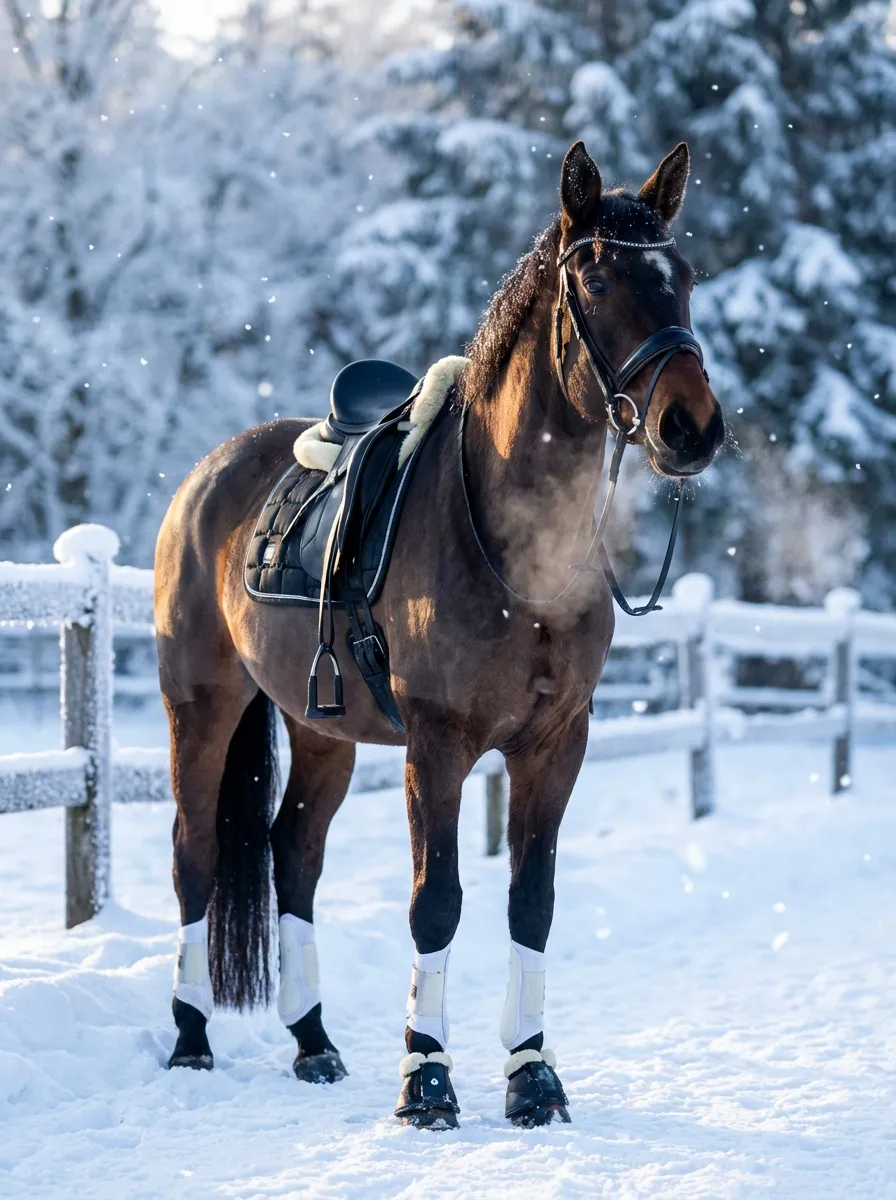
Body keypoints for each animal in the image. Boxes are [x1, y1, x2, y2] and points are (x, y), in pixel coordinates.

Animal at [154, 139, 725, 1129]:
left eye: (683, 277)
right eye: (600, 279)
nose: (691, 426)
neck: (513, 543)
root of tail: (204, 477)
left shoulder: (555, 743)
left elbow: (531, 902)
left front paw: (532, 1074)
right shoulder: (439, 745)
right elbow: (437, 903)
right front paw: (426, 1077)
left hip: (320, 731)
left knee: (292, 858)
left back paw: (313, 1041)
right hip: (202, 707)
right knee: (197, 859)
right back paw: (191, 1039)